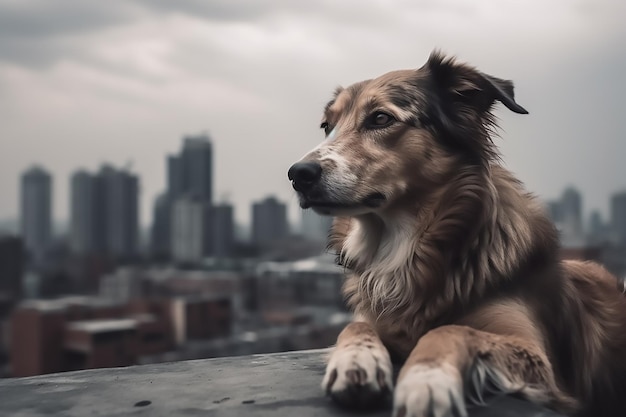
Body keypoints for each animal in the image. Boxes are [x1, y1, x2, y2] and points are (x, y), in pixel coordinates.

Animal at [286, 52, 624, 416]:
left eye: (380, 118)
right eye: (327, 126)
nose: (298, 174)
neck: (408, 247)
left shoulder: (536, 357)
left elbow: (452, 330)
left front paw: (426, 380)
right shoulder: (375, 318)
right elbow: (354, 325)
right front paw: (355, 362)